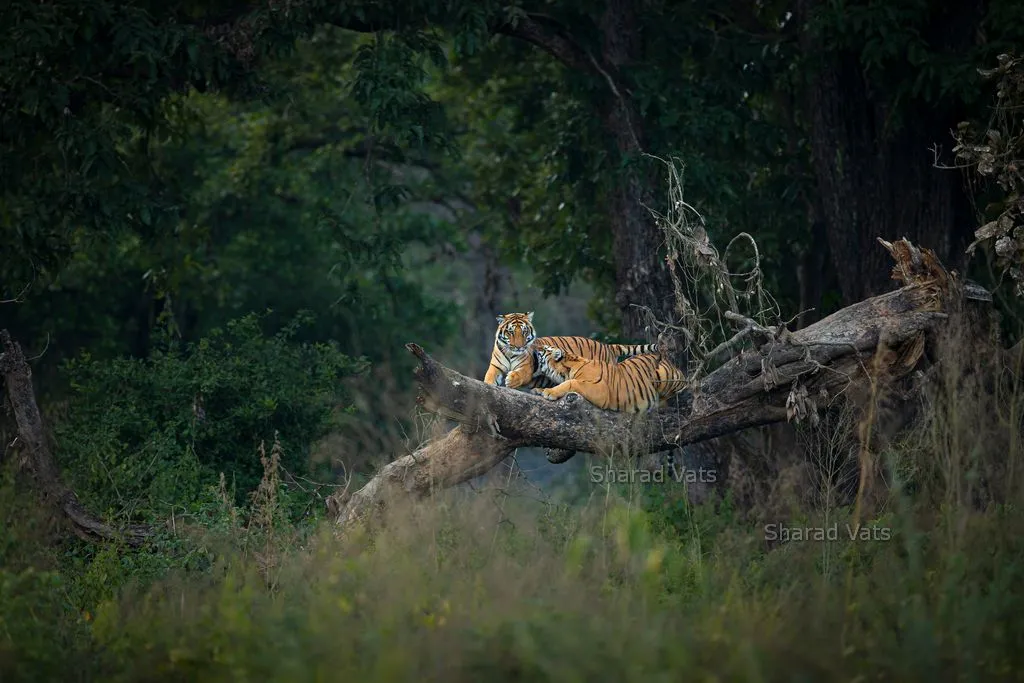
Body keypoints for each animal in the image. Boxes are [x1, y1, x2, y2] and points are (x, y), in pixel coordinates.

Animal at [479, 311, 655, 389]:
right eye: (510, 332)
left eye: (524, 332)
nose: (519, 346)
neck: (510, 353)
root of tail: (607, 346)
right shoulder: (495, 366)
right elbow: (489, 377)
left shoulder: (526, 367)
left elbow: (521, 374)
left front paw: (511, 380)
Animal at [528, 344, 688, 413]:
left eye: (544, 349)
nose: (535, 348)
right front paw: (539, 390)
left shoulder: (599, 389)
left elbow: (571, 383)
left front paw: (549, 392)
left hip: (664, 374)